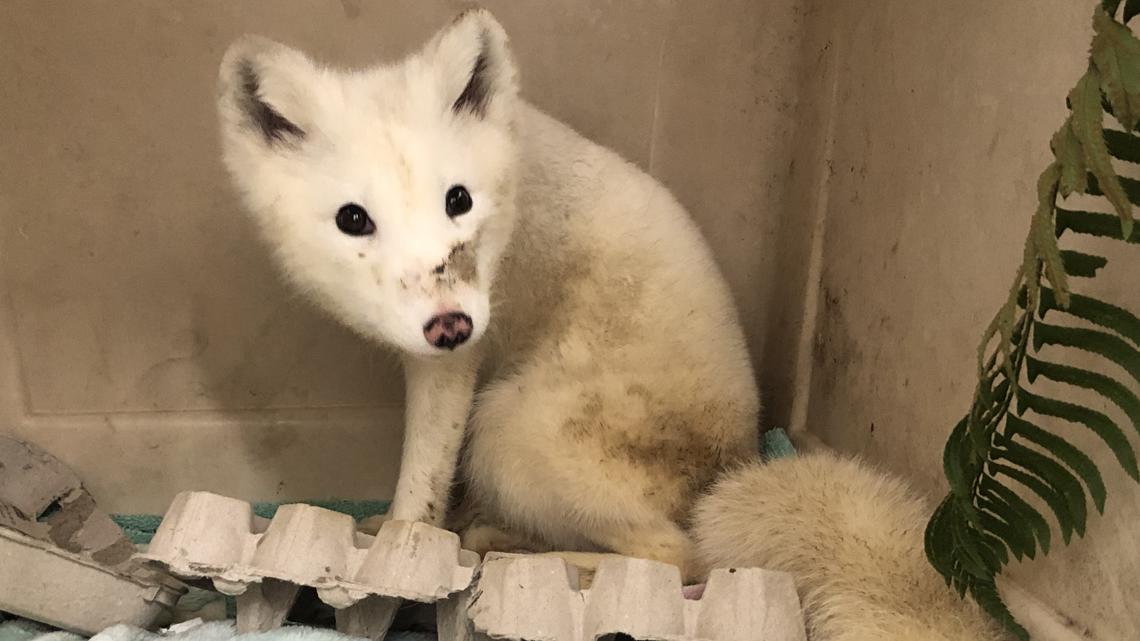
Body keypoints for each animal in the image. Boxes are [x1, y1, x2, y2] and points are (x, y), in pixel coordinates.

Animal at [215, 9, 1007, 638]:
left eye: (458, 200)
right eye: (354, 219)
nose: (452, 324)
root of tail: (736, 458)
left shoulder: (455, 371)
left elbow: (420, 477)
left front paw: (400, 548)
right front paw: (397, 533)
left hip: (507, 429)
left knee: (681, 557)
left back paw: (520, 555)